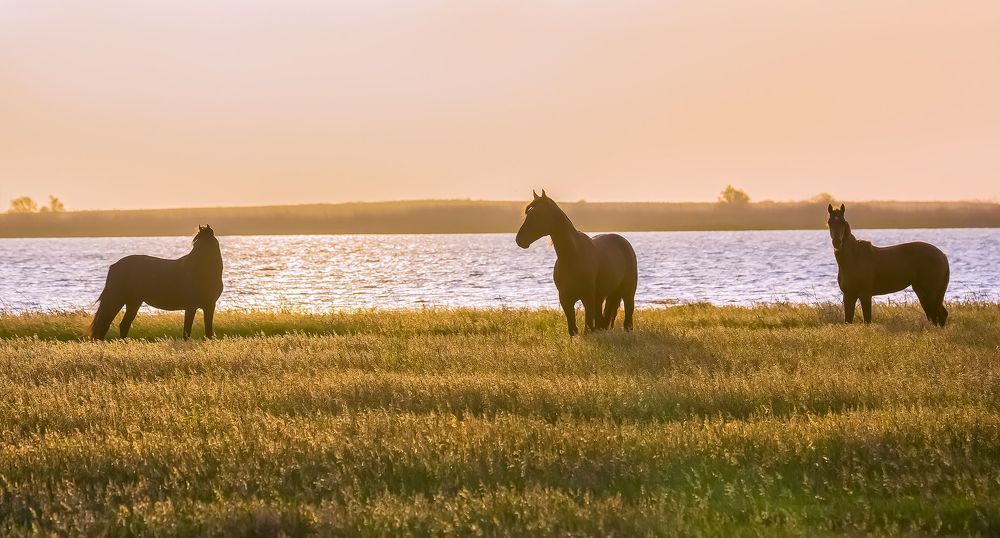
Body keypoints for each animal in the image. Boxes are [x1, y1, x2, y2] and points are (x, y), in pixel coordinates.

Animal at [86, 225, 224, 340]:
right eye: (195, 244)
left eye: (204, 244)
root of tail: (115, 266)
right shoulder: (191, 306)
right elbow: (187, 330)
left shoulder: (210, 305)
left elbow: (208, 330)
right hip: (117, 300)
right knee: (104, 324)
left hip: (133, 302)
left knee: (123, 325)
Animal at [516, 190, 638, 336]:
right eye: (528, 213)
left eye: (538, 214)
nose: (519, 240)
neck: (573, 256)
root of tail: (624, 242)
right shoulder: (565, 299)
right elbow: (573, 329)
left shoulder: (587, 297)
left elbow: (588, 327)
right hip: (603, 295)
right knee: (603, 320)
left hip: (628, 292)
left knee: (627, 320)